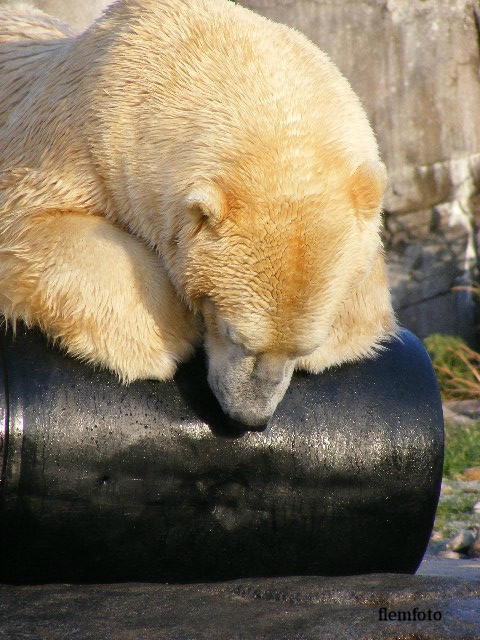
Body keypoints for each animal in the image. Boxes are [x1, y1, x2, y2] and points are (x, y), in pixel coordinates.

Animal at [0, 1, 396, 430]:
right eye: (234, 333)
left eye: (304, 347)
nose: (249, 417)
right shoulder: (67, 140)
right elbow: (35, 223)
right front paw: (161, 339)